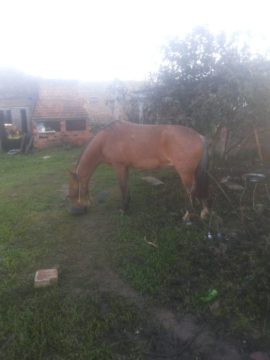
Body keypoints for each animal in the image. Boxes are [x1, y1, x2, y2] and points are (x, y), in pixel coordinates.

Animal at [68, 121, 210, 221]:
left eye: (72, 193)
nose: (76, 211)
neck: (106, 139)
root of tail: (200, 137)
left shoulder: (119, 167)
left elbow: (122, 187)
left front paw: (123, 209)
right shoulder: (125, 167)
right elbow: (126, 186)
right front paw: (127, 204)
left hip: (185, 173)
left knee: (190, 191)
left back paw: (188, 215)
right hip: (194, 172)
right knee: (197, 188)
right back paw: (203, 211)